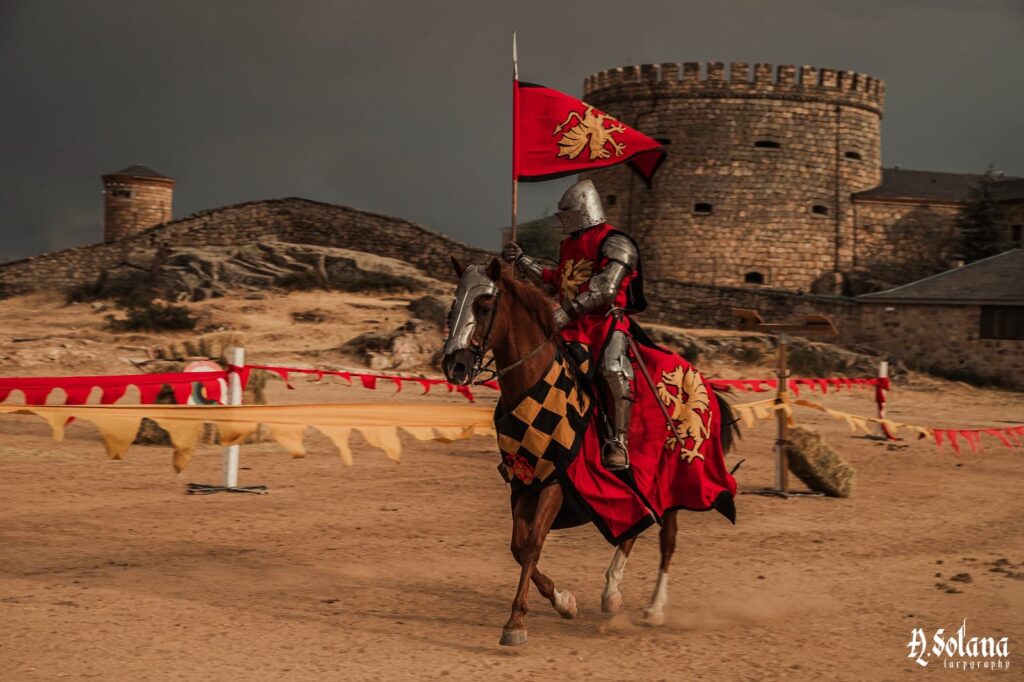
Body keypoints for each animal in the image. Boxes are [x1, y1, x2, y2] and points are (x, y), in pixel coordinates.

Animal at [441, 257, 737, 646]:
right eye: (454, 307)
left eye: (485, 306)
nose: (455, 366)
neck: (532, 383)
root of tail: (698, 377)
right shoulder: (523, 480)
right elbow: (518, 547)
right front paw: (563, 601)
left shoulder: (555, 479)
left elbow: (532, 544)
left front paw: (515, 623)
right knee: (636, 523)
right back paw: (613, 594)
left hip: (674, 474)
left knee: (665, 535)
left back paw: (650, 607)